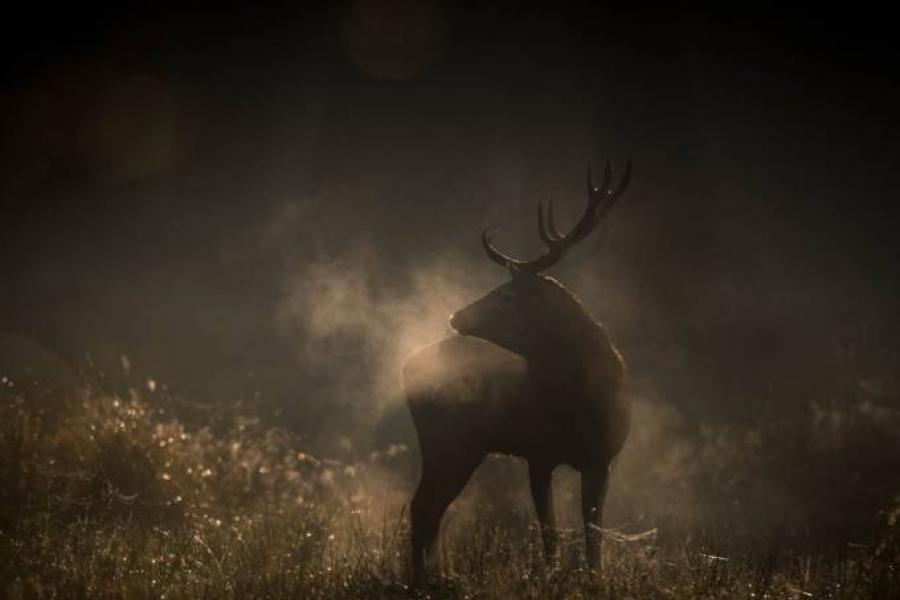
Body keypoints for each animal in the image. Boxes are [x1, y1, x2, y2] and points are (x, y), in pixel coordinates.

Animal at [400, 159, 632, 580]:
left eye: (507, 297)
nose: (456, 315)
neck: (579, 405)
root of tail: (407, 365)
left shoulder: (601, 458)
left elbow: (593, 533)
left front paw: (594, 579)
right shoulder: (539, 453)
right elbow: (550, 532)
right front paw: (551, 576)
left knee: (430, 509)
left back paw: (433, 575)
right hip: (448, 440)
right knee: (423, 507)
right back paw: (422, 578)